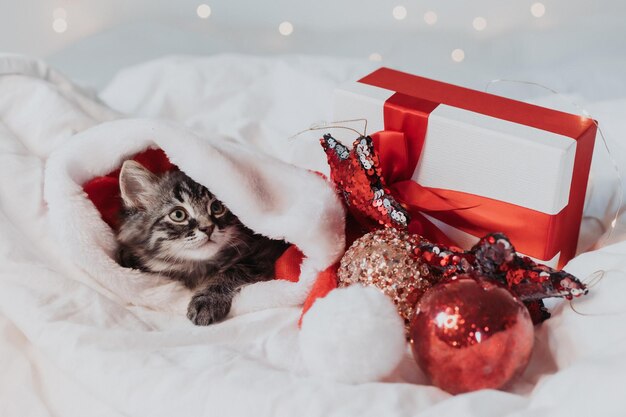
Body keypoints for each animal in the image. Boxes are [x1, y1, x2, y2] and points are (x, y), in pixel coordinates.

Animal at [116, 159, 286, 324]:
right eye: (178, 214)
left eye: (217, 207)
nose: (208, 228)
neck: (198, 266)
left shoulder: (263, 254)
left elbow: (234, 270)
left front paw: (208, 300)